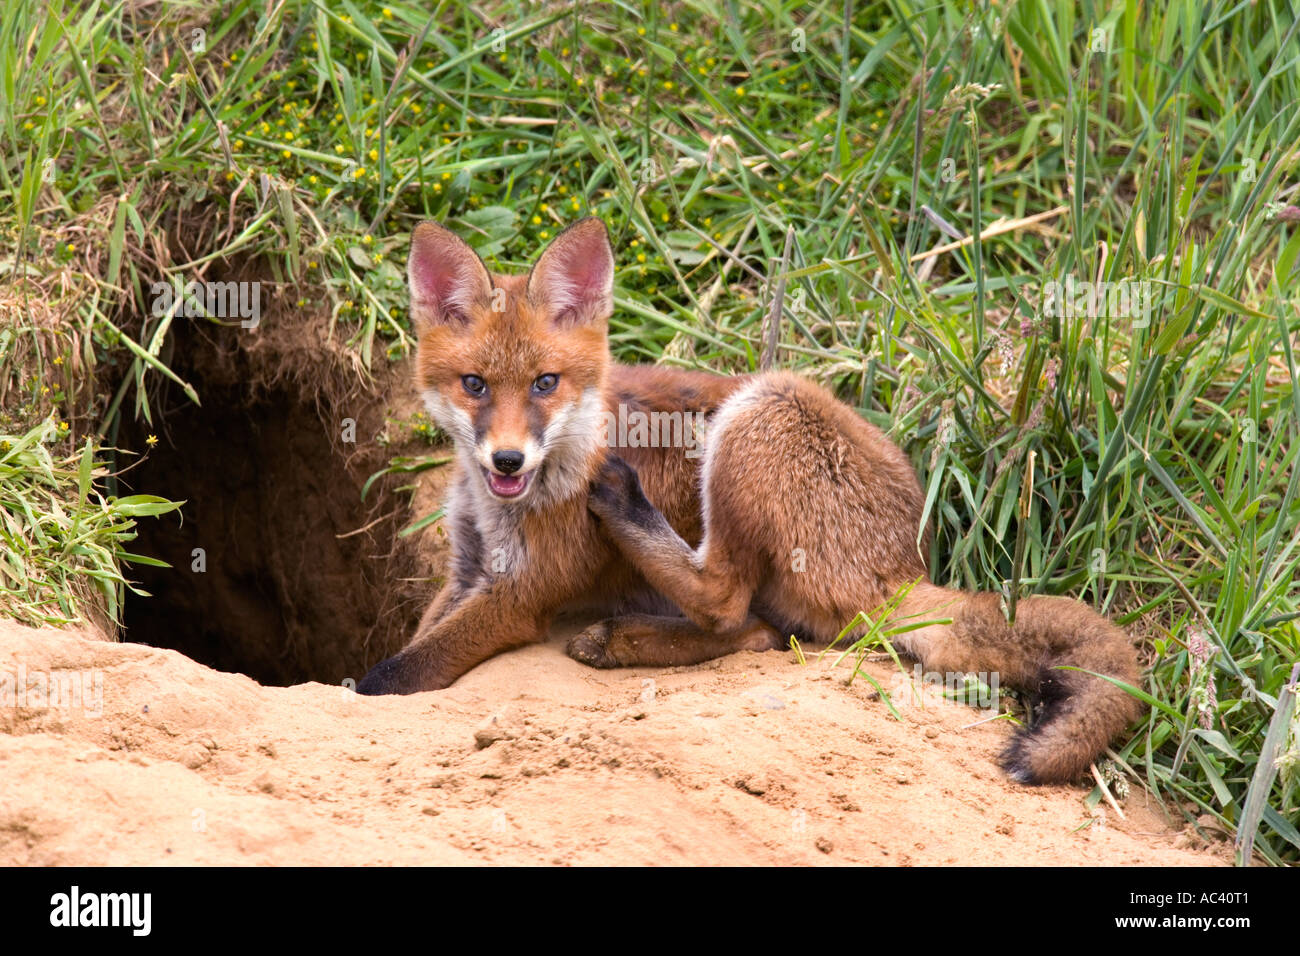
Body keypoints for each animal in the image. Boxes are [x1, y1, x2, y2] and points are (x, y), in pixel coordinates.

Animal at [357, 216, 1144, 785]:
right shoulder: (465, 570)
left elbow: (395, 676)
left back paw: (625, 551)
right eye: (475, 386)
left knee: (727, 603)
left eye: (546, 383)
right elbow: (414, 640)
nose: (508, 460)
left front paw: (361, 692)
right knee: (759, 630)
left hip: (761, 413)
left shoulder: (521, 592)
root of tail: (908, 568)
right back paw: (623, 636)